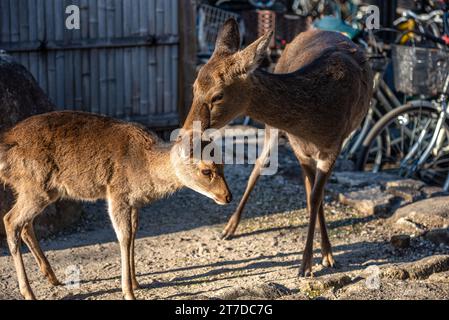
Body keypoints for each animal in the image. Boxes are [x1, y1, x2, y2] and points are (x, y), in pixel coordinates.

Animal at [0, 110, 231, 300]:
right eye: (206, 171)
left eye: (222, 163)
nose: (227, 196)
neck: (146, 168)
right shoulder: (117, 193)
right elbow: (124, 236)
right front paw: (128, 292)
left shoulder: (134, 202)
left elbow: (134, 234)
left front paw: (136, 283)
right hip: (35, 186)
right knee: (10, 220)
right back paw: (29, 293)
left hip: (35, 190)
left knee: (25, 225)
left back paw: (52, 277)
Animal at [182, 19, 372, 276]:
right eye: (194, 87)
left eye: (217, 95)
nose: (186, 134)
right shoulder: (298, 148)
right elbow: (312, 195)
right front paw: (313, 261)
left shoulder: (334, 145)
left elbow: (316, 197)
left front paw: (313, 262)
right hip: (273, 130)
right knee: (259, 166)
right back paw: (229, 229)